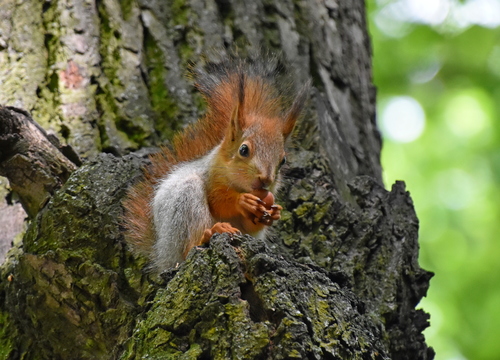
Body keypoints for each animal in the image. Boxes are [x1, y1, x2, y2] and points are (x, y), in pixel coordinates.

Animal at [122, 57, 308, 270]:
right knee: (189, 245)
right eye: (243, 150)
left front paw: (274, 212)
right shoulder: (211, 175)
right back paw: (208, 233)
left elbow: (251, 226)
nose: (266, 179)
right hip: (184, 205)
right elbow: (218, 201)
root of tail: (163, 254)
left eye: (283, 160)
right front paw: (242, 201)